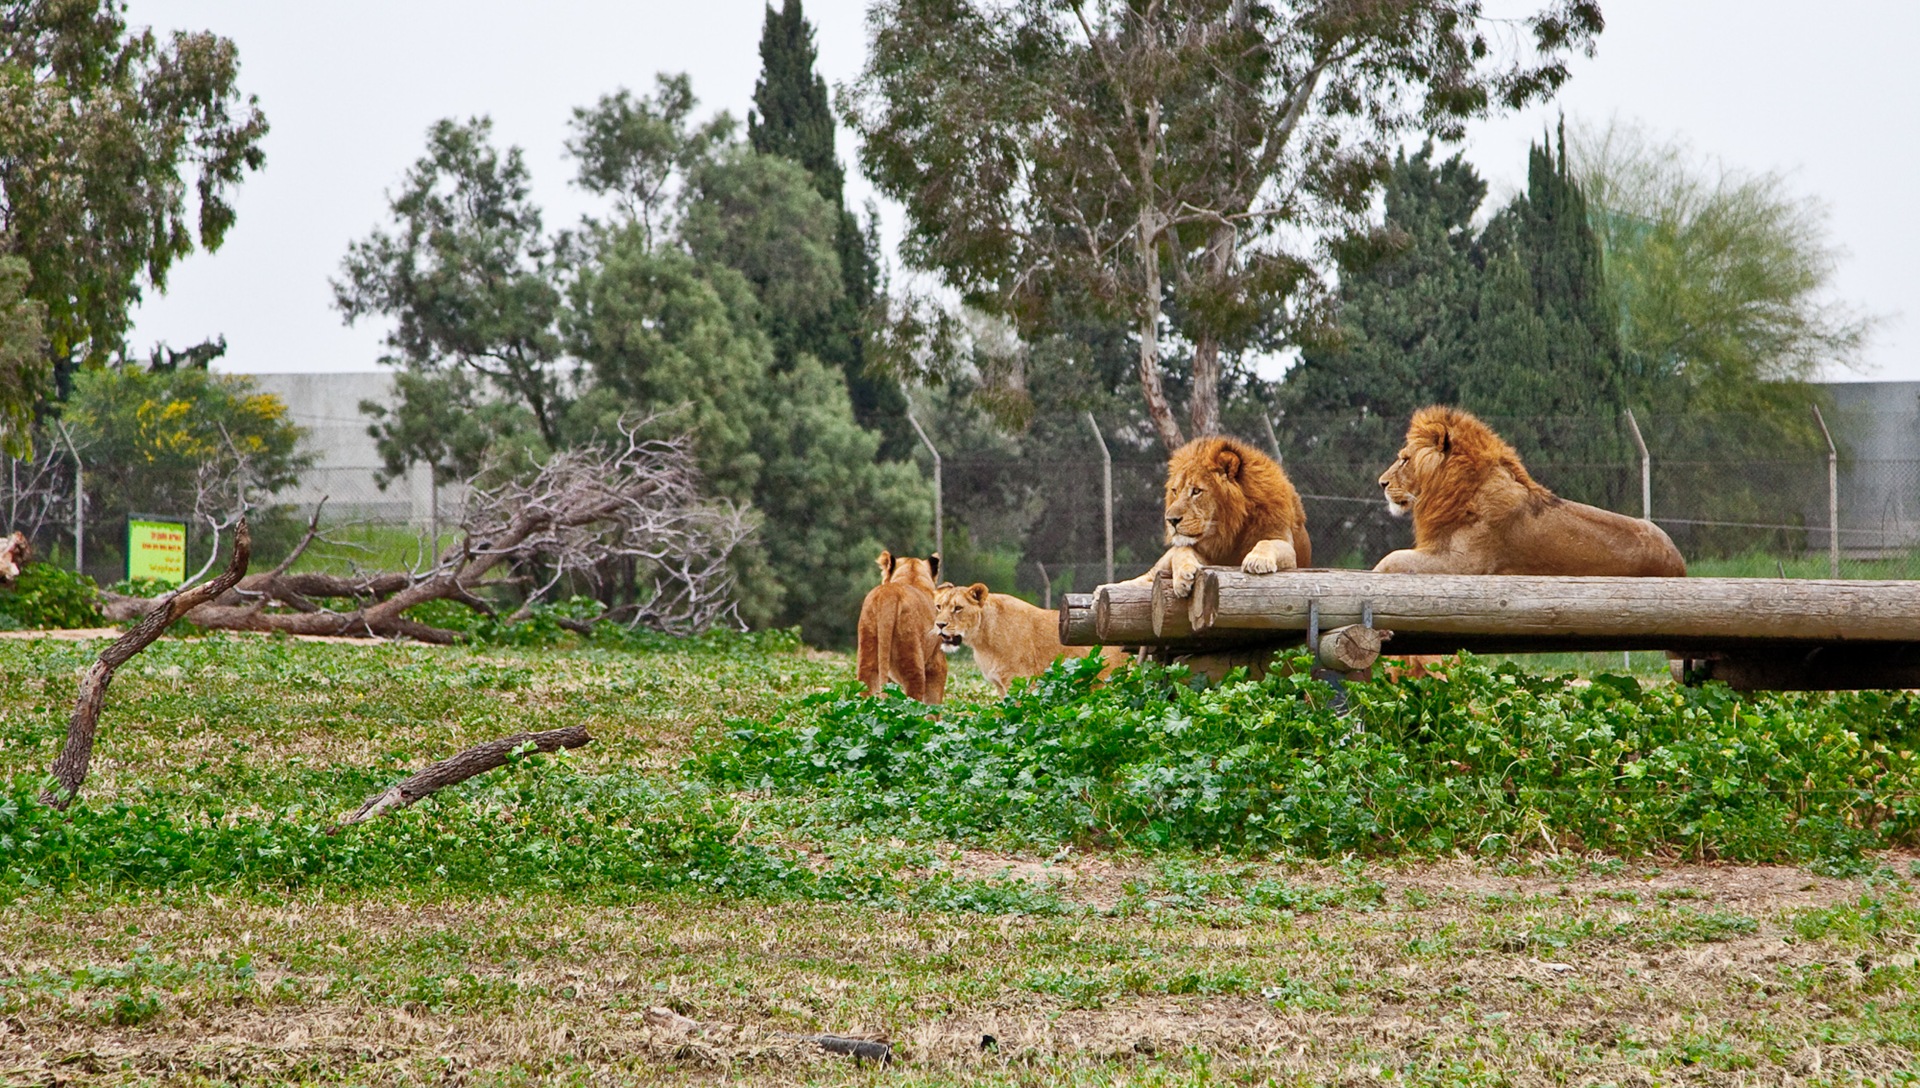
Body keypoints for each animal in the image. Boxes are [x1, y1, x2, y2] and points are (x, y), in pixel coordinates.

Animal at [860, 552, 948, 706]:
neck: (912, 577)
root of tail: (889, 594)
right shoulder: (937, 663)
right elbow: (933, 702)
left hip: (868, 649)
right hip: (912, 657)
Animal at [1128, 433, 1313, 598]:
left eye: (1196, 491)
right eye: (1175, 491)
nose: (1171, 520)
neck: (1226, 532)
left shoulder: (1291, 557)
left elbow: (1267, 542)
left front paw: (1256, 560)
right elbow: (1182, 549)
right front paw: (1183, 575)